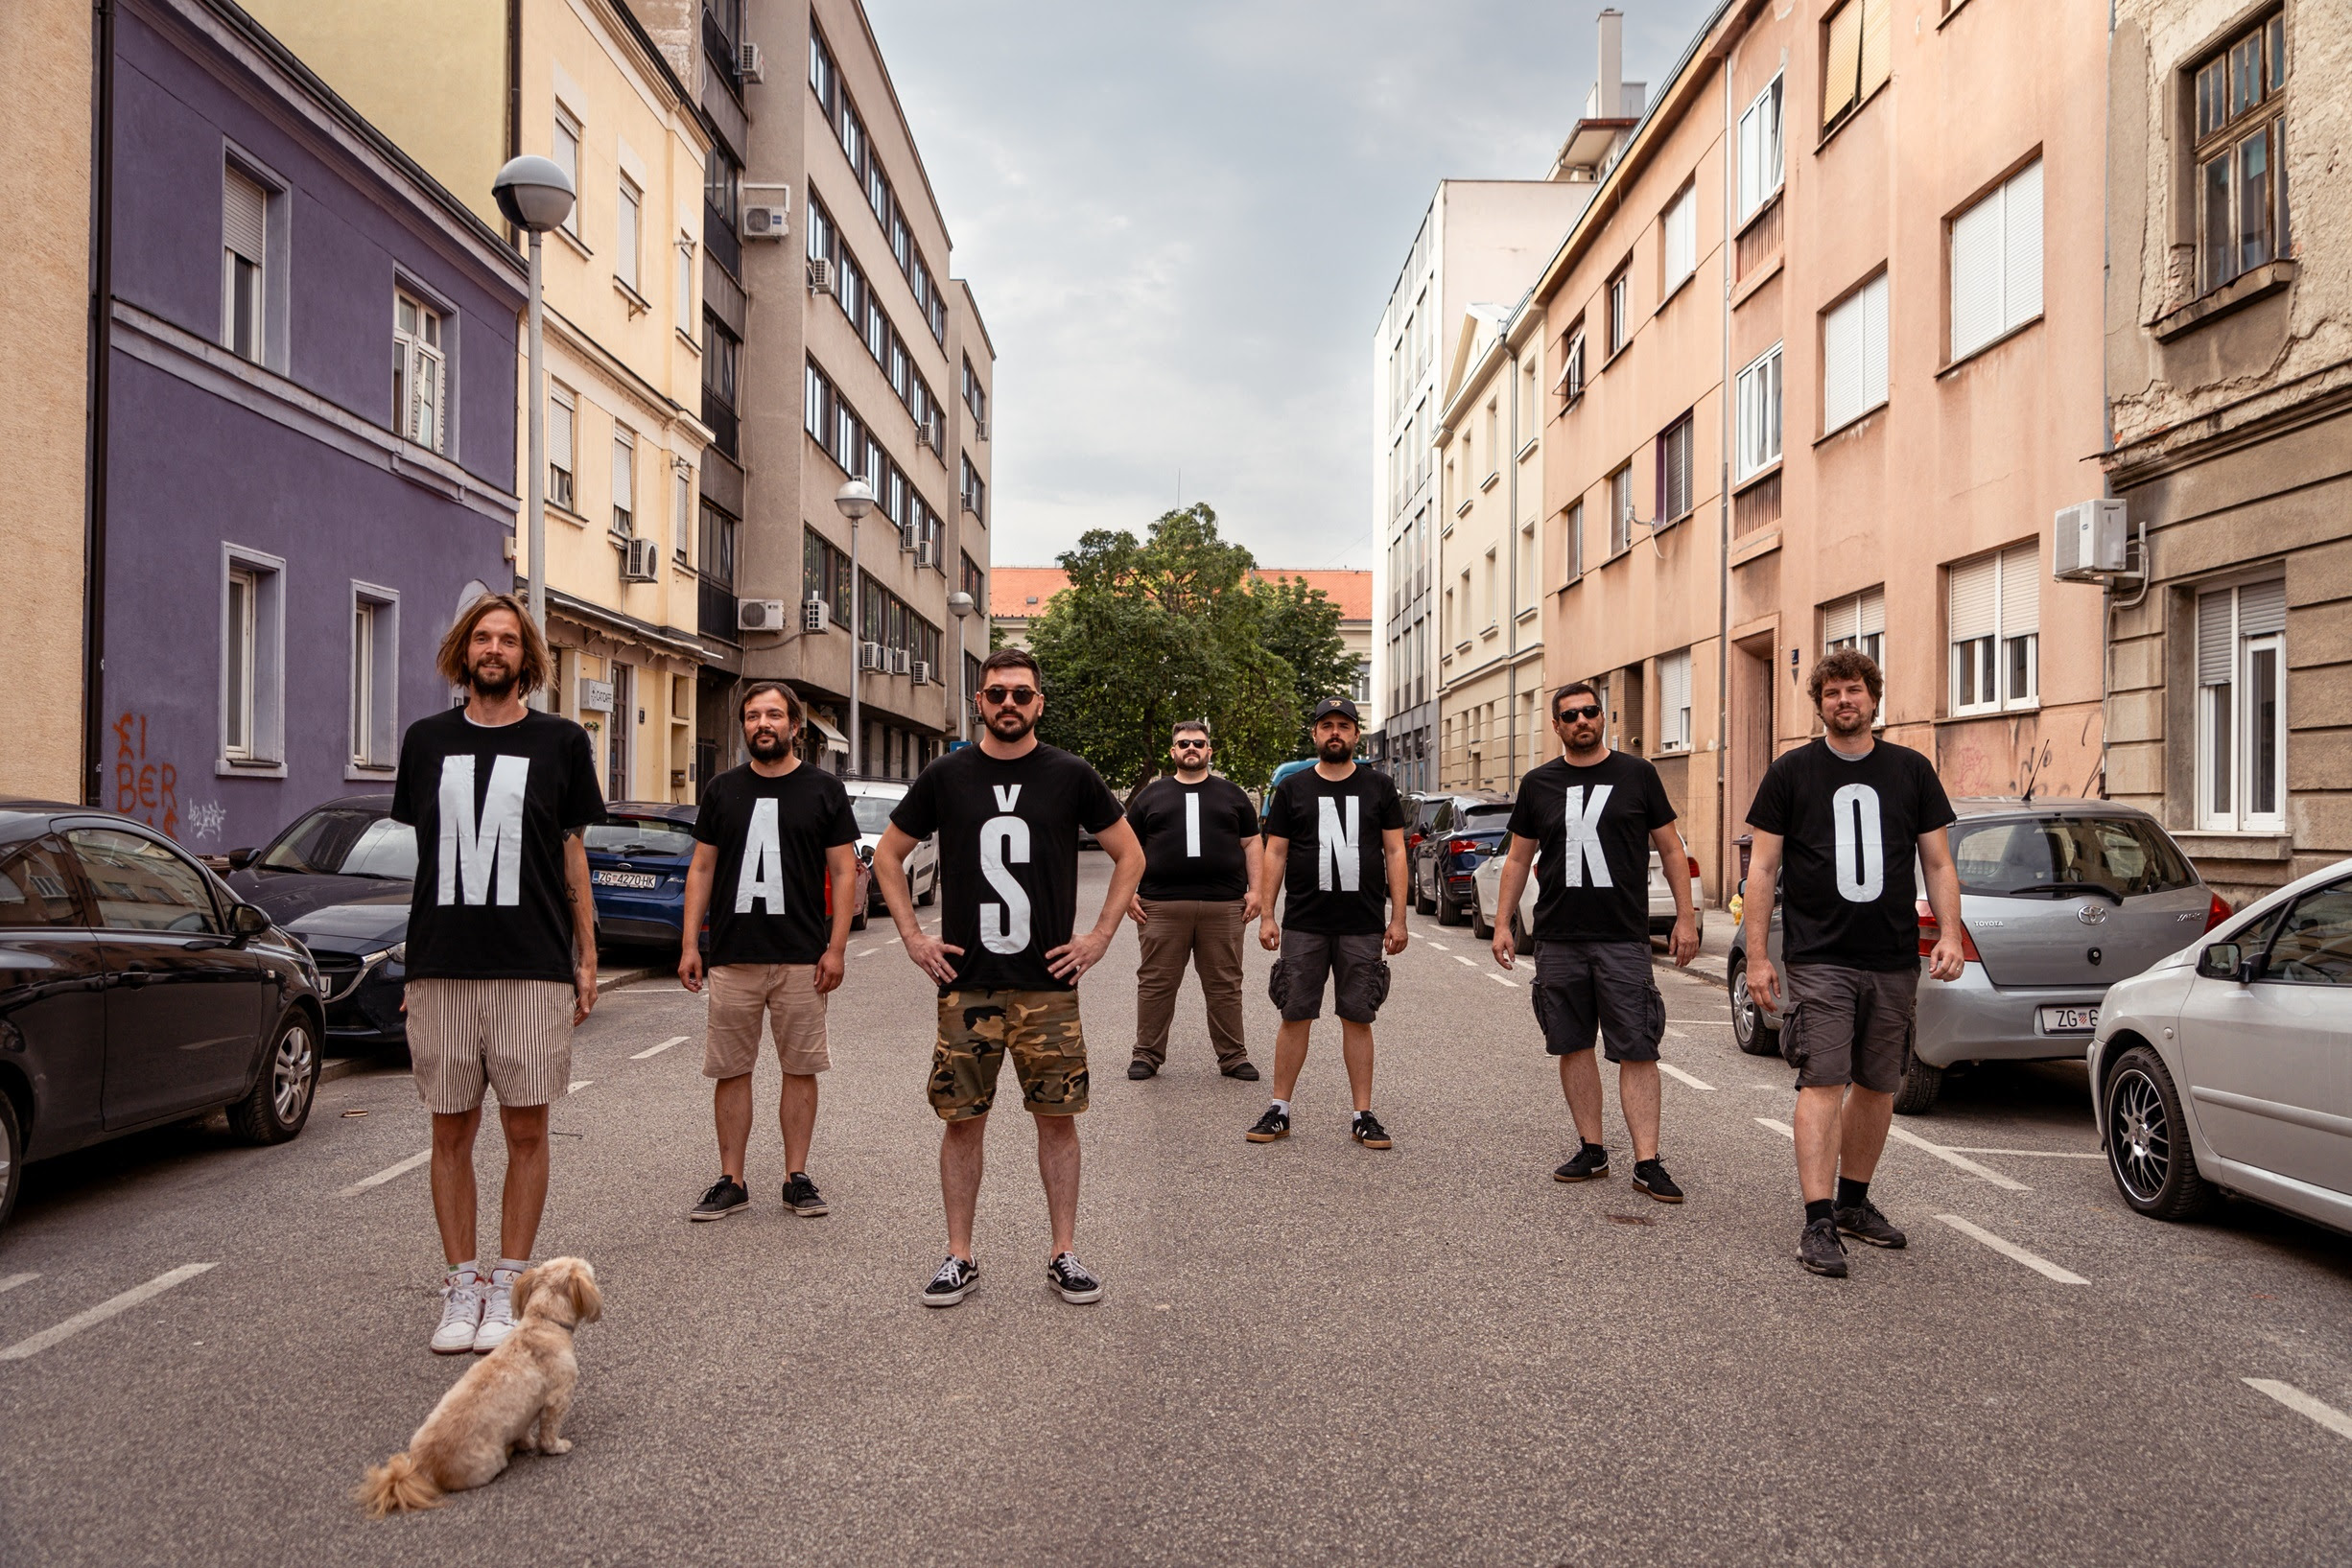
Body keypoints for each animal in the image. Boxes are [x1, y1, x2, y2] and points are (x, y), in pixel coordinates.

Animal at [357, 1259, 601, 1513]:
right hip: (488, 1463)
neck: (544, 1322)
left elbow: (523, 1428)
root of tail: (422, 1468)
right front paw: (557, 1446)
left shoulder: (523, 1412)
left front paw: (525, 1442)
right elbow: (549, 1432)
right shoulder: (558, 1397)